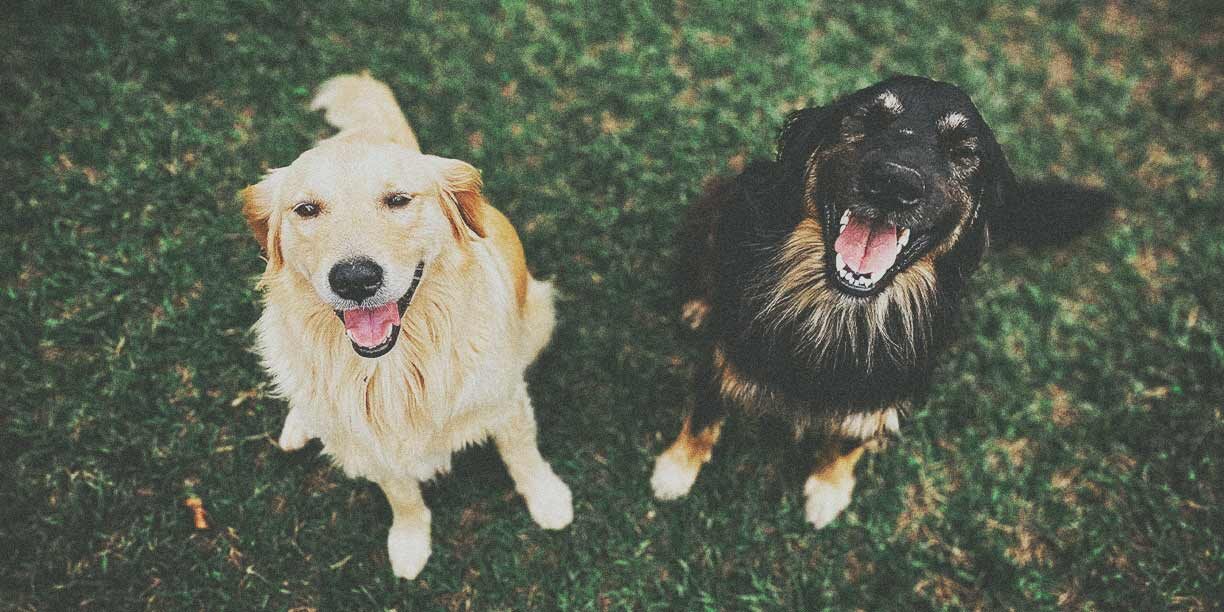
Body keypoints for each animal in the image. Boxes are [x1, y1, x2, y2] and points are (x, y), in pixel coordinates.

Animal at [244, 72, 577, 577]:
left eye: (398, 200)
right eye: (306, 209)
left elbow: (523, 456)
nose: (354, 278)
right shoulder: (377, 447)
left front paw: (548, 499)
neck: (393, 368)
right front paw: (409, 542)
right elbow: (401, 496)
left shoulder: (505, 403)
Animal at [656, 75, 1116, 526]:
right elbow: (704, 415)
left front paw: (829, 489)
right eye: (868, 119)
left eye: (962, 151)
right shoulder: (724, 354)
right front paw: (676, 469)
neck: (840, 309)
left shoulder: (884, 391)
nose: (895, 184)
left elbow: (850, 439)